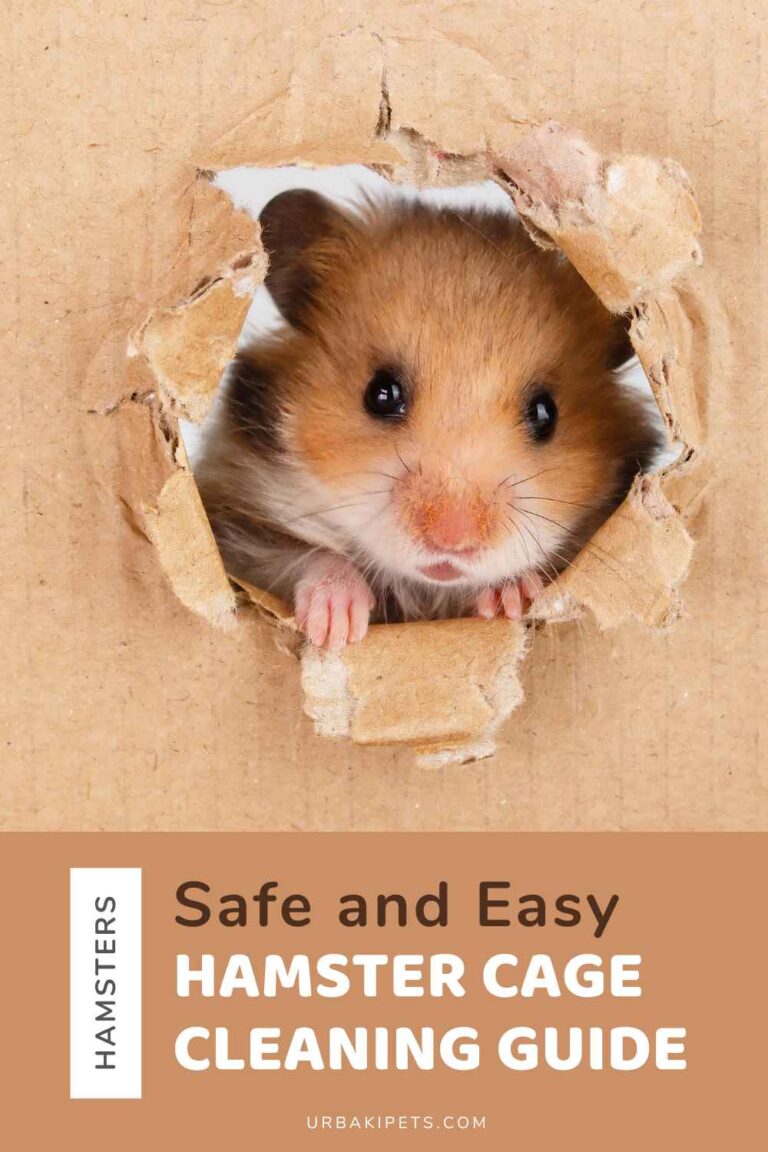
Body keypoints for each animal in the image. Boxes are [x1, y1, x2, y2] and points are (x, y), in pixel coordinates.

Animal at [195, 188, 663, 650]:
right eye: (381, 393)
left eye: (546, 413)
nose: (452, 542)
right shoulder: (236, 525)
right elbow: (307, 555)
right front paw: (338, 626)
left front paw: (509, 597)